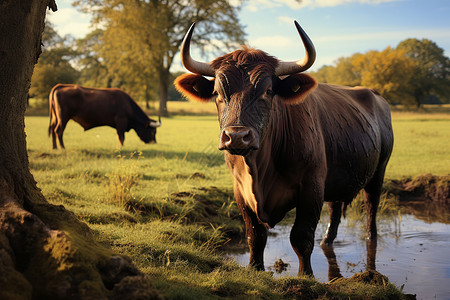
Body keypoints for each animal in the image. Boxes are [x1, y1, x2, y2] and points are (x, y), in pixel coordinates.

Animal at [176, 19, 394, 276]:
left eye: (268, 91)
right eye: (217, 93)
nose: (237, 137)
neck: (260, 171)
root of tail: (375, 96)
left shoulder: (312, 187)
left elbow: (301, 238)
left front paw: (305, 276)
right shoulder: (240, 191)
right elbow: (255, 236)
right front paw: (255, 269)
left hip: (379, 171)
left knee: (371, 207)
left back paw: (370, 238)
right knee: (335, 209)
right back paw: (327, 241)